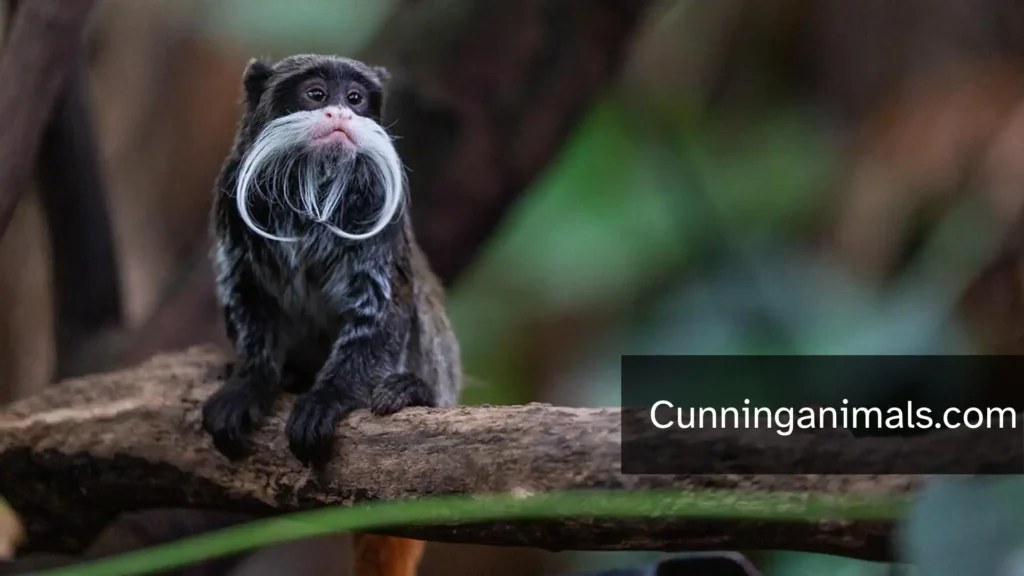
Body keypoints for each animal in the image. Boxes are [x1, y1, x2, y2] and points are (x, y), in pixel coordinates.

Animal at [199, 54, 461, 576]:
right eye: (317, 94)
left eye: (355, 98)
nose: (340, 112)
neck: (312, 184)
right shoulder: (232, 209)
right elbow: (248, 304)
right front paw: (249, 384)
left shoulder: (380, 217)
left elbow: (382, 312)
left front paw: (328, 399)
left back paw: (413, 392)